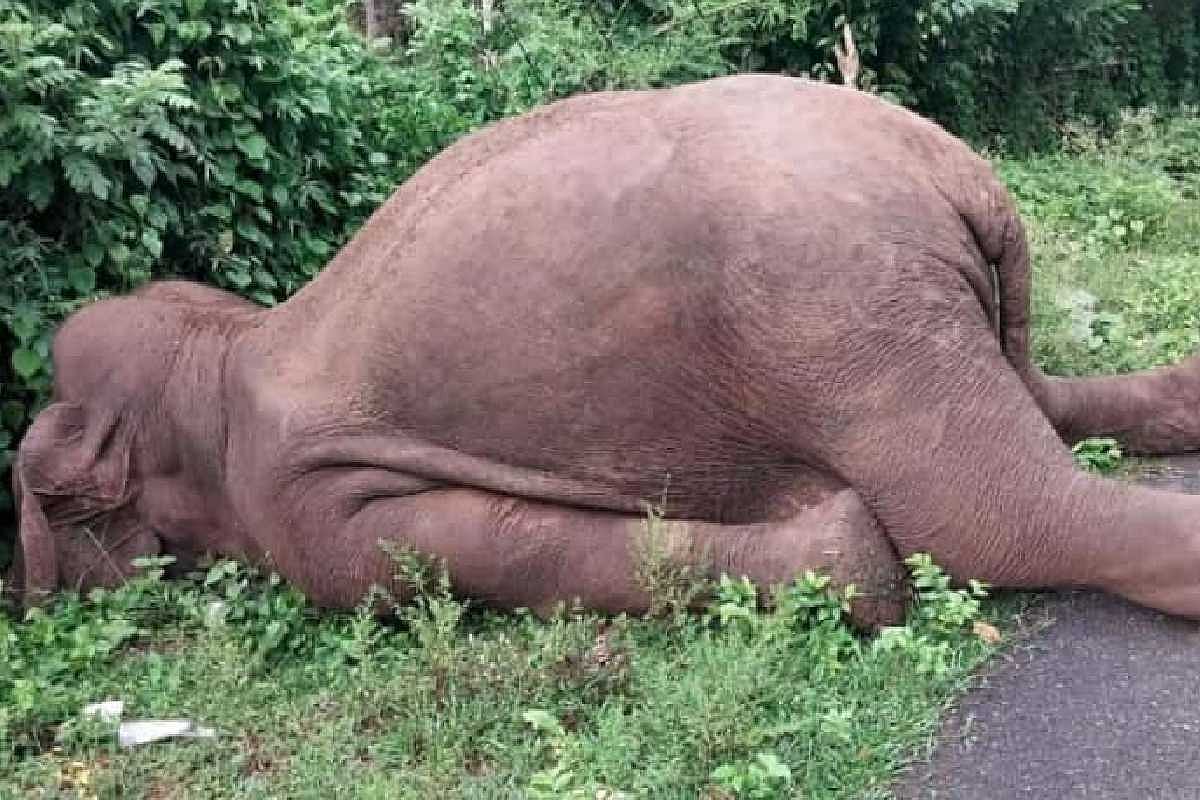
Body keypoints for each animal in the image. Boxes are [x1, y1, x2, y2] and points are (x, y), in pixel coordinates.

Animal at [8, 74, 1200, 629]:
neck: (229, 349)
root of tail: (958, 174)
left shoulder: (302, 511)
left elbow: (422, 552)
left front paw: (851, 559)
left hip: (844, 309)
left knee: (996, 517)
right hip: (905, 309)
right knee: (1041, 403)